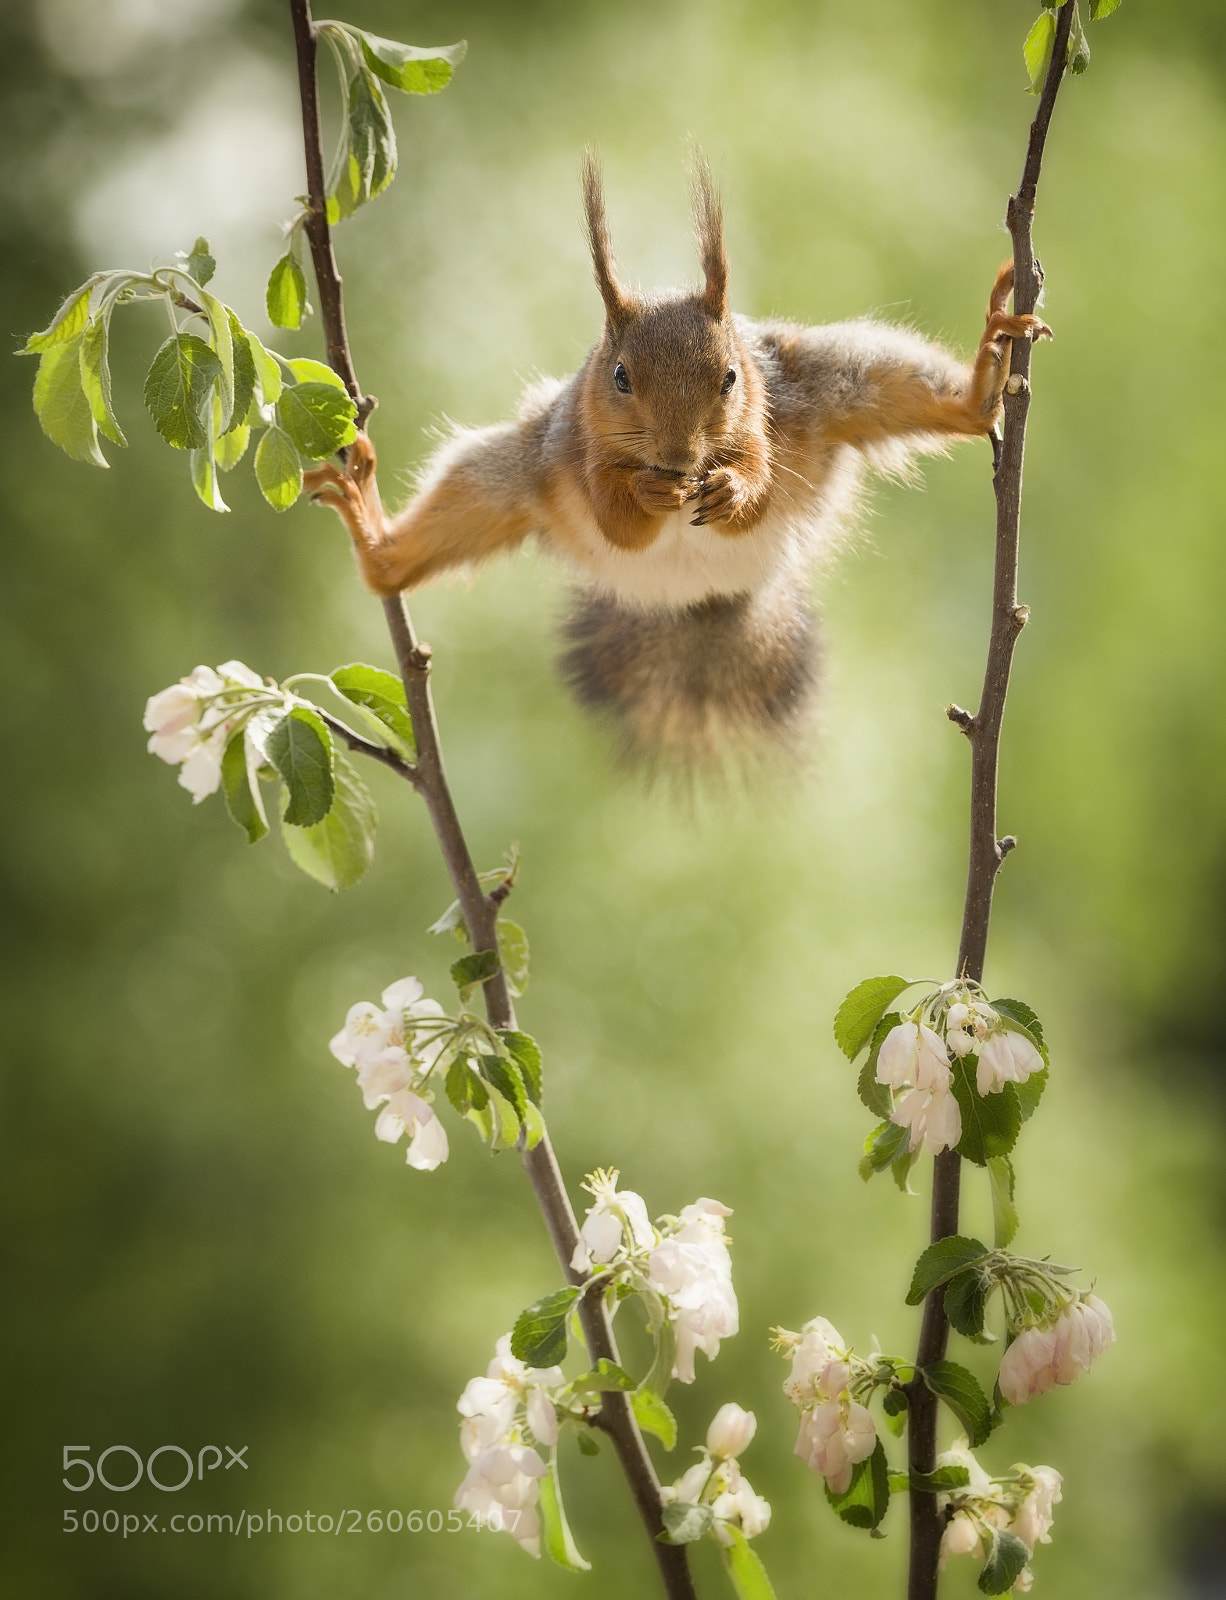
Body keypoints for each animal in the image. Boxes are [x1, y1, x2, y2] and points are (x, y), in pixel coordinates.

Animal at [304, 153, 1050, 773]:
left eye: (730, 377)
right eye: (619, 377)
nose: (677, 458)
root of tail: (699, 600)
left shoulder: (776, 420)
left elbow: (758, 488)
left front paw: (732, 491)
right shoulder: (571, 452)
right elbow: (615, 520)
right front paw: (644, 495)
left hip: (835, 382)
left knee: (930, 401)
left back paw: (986, 377)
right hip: (513, 474)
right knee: (407, 554)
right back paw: (369, 526)